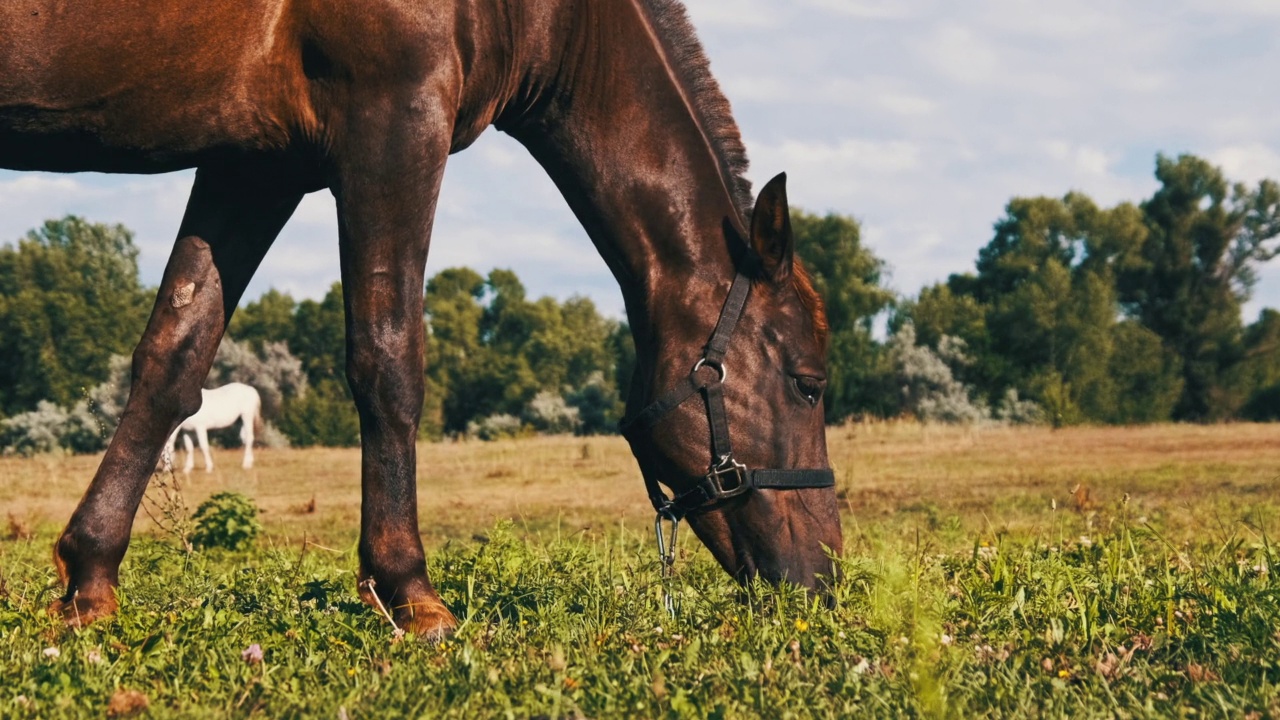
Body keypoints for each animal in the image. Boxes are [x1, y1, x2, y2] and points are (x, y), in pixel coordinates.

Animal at [5, 0, 844, 632]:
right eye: (808, 382)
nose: (827, 581)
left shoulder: (254, 162)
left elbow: (175, 354)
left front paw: (89, 582)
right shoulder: (396, 119)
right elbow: (388, 359)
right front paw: (409, 590)